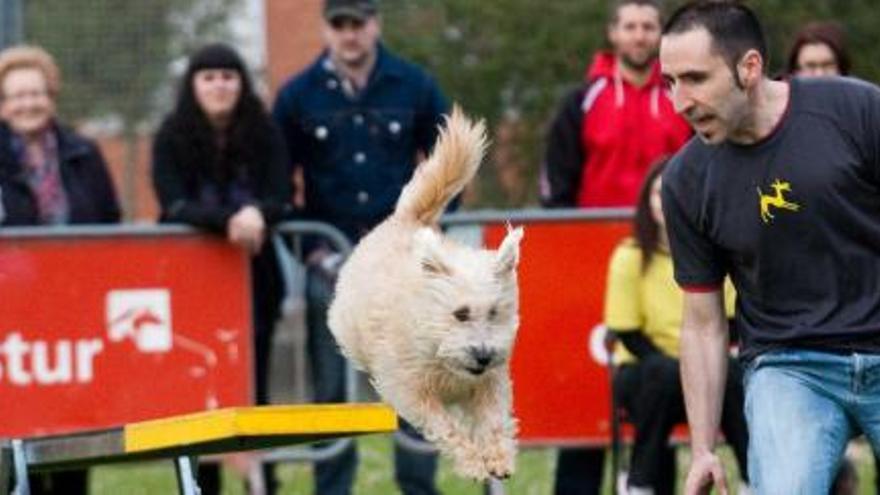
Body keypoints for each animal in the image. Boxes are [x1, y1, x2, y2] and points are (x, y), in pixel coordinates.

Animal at [328, 107, 524, 480]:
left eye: (494, 313)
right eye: (460, 313)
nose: (483, 355)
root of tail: (408, 219)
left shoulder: (489, 383)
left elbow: (493, 418)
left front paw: (498, 458)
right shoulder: (411, 390)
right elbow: (445, 426)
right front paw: (473, 462)